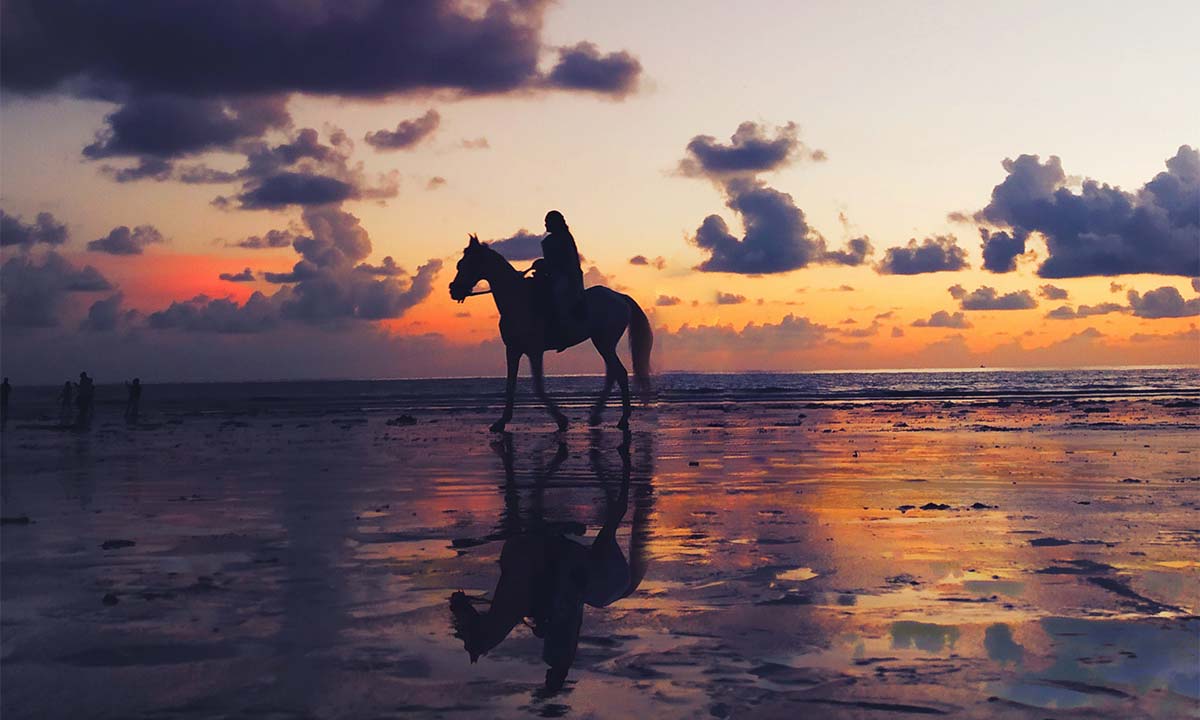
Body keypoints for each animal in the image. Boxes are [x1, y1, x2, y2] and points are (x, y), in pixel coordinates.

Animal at [451, 234, 652, 429]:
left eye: (466, 264)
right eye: (459, 264)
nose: (453, 290)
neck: (517, 299)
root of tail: (620, 297)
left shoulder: (534, 351)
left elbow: (538, 386)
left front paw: (561, 419)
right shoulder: (513, 350)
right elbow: (510, 385)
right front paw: (502, 421)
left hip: (605, 343)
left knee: (620, 373)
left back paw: (623, 418)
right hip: (603, 343)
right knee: (612, 374)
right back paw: (596, 415)